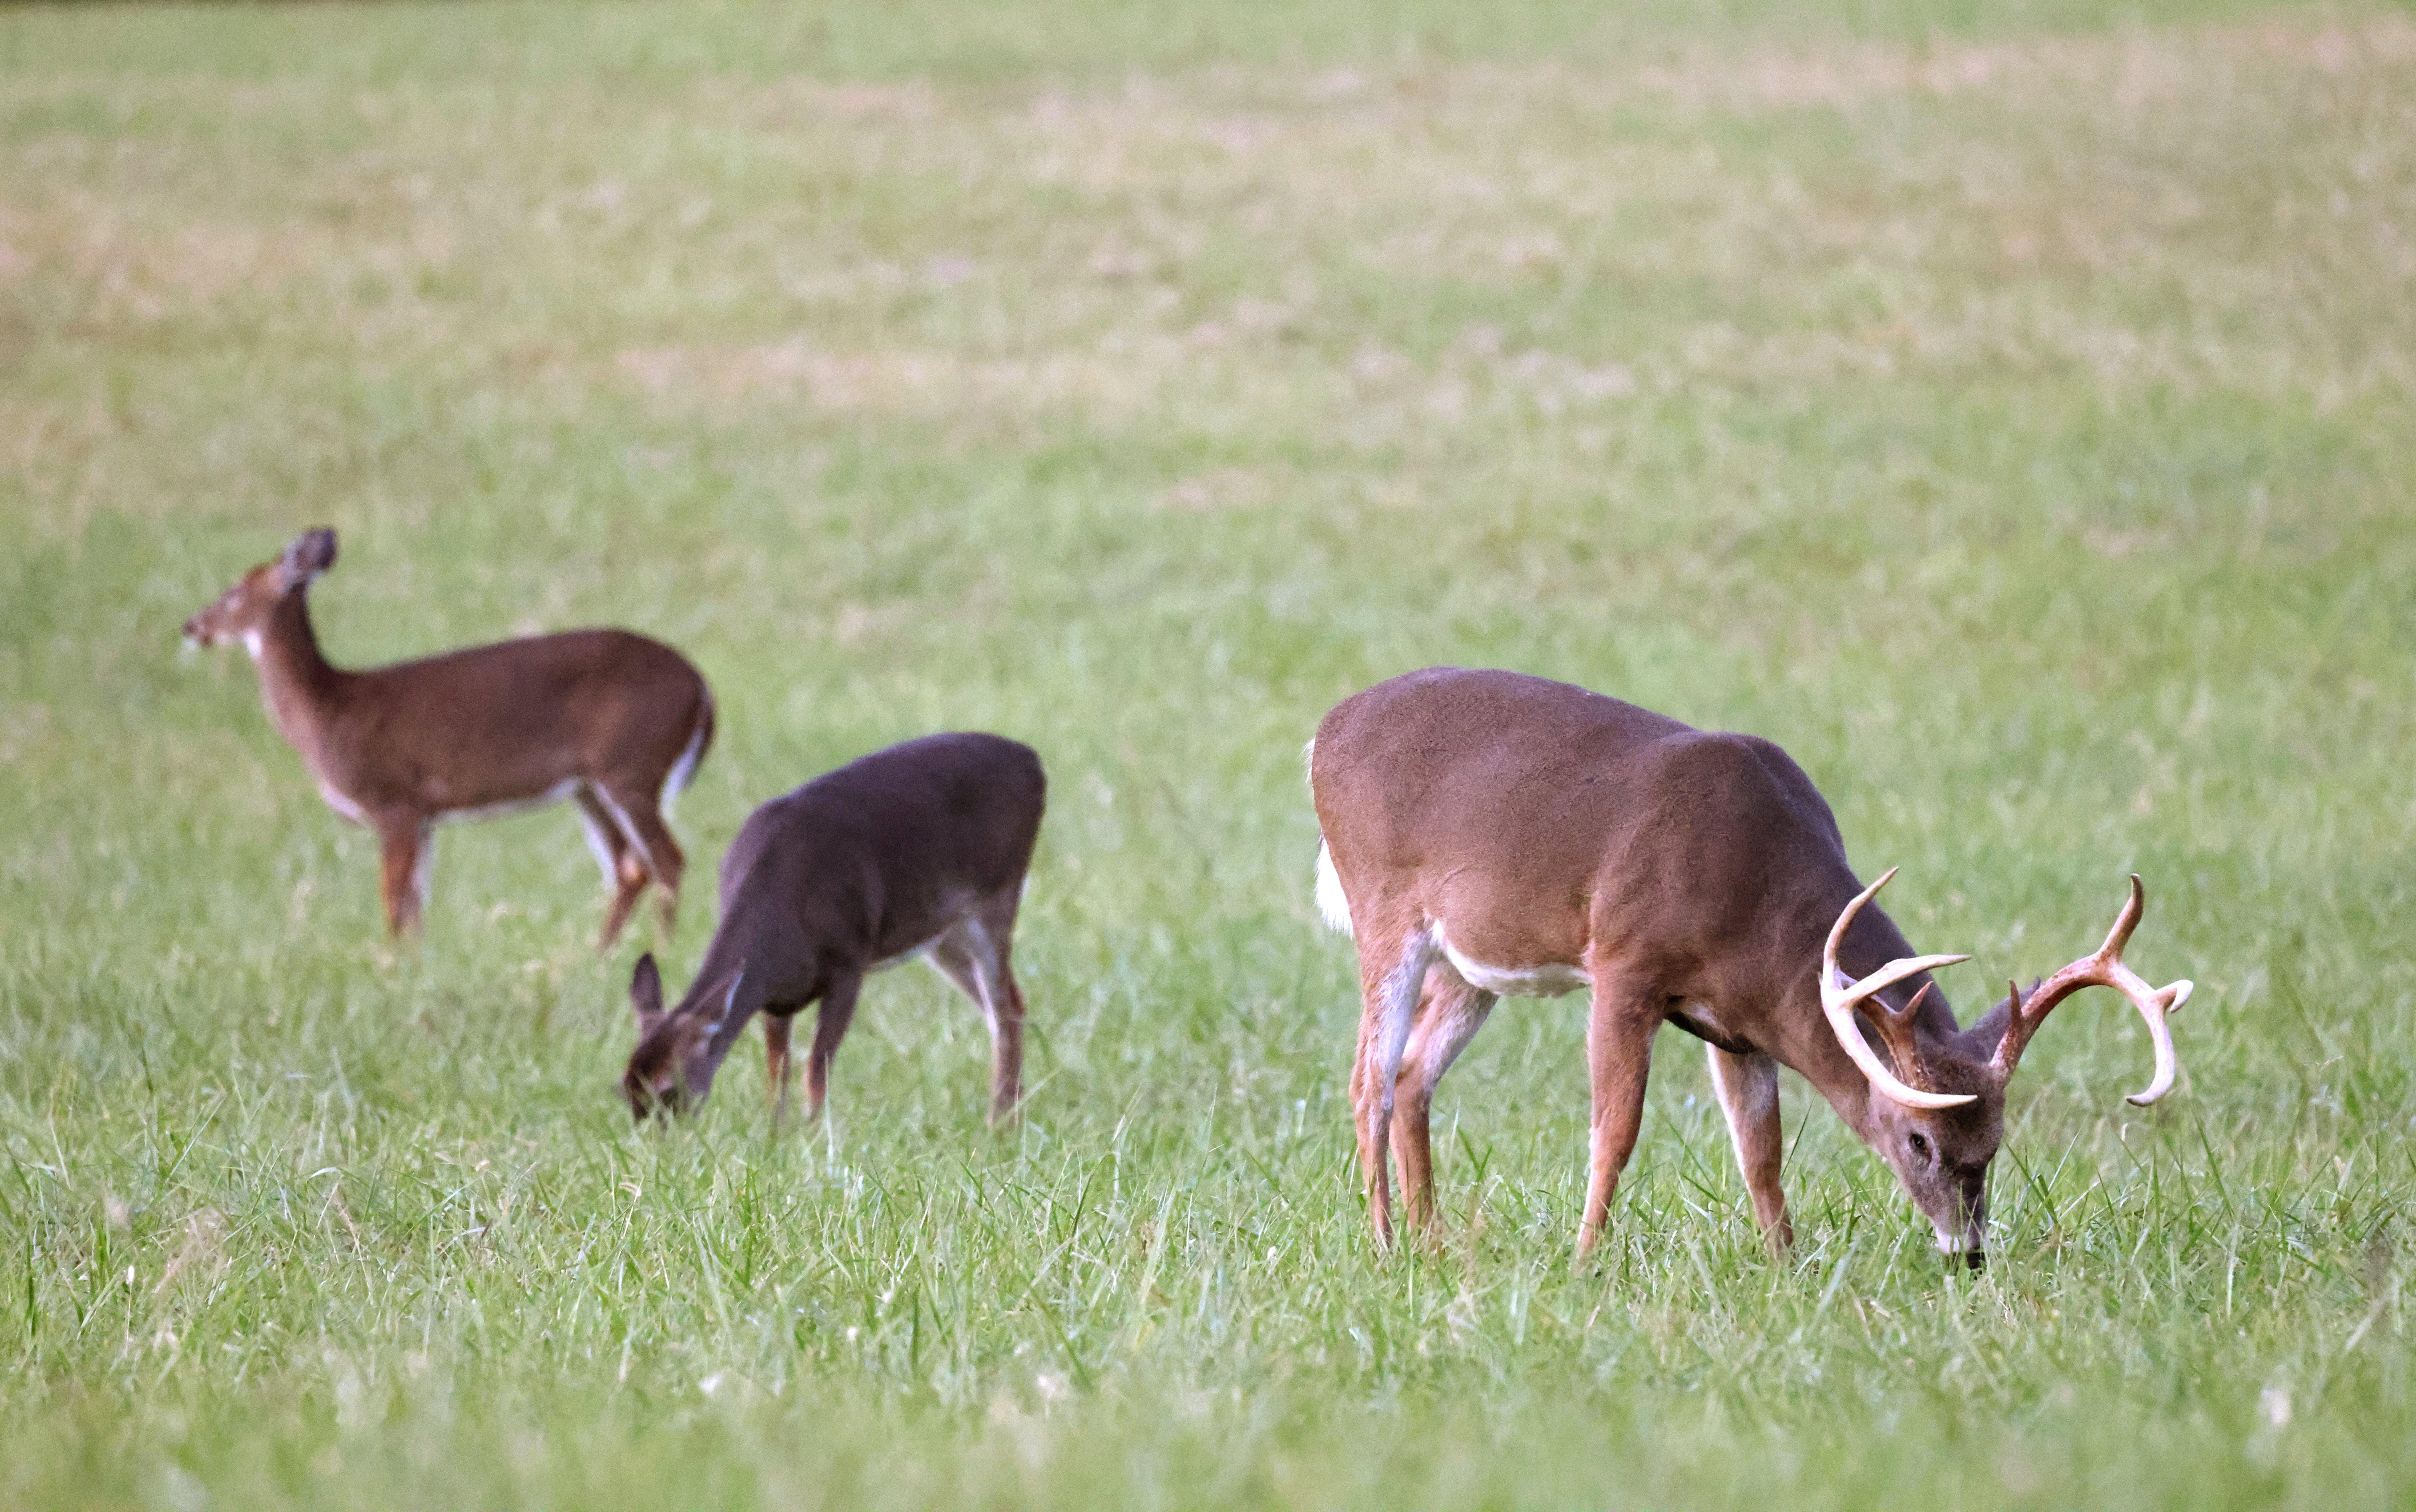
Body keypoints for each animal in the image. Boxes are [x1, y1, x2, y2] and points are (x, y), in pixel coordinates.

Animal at [184, 524, 710, 937]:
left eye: (233, 592)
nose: (193, 626)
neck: (328, 709)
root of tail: (702, 688)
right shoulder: (424, 818)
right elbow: (416, 905)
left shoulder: (395, 802)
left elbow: (394, 903)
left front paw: (389, 967)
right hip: (589, 787)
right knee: (629, 868)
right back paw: (600, 954)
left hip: (632, 766)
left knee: (667, 860)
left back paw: (658, 948)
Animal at [623, 729, 1039, 1130]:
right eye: (626, 1088)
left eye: (668, 1089)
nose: (658, 1142)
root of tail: (1031, 758)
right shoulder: (775, 997)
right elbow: (778, 1071)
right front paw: (774, 1134)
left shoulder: (848, 964)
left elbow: (816, 1070)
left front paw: (815, 1136)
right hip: (942, 933)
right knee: (1001, 1006)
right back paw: (1007, 1118)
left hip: (998, 898)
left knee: (1007, 1007)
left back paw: (1002, 1125)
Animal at [1314, 667, 2203, 1256]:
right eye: (1918, 1140)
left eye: (1993, 1142)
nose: (1969, 1252)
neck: (1756, 893)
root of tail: (1324, 729)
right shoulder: (1625, 962)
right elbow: (1615, 1129)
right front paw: (1584, 1259)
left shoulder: (1739, 1021)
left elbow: (1761, 1151)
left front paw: (1785, 1263)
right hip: (1384, 909)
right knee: (1366, 1078)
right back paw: (1385, 1245)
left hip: (1470, 964)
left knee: (1412, 1075)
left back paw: (1431, 1239)